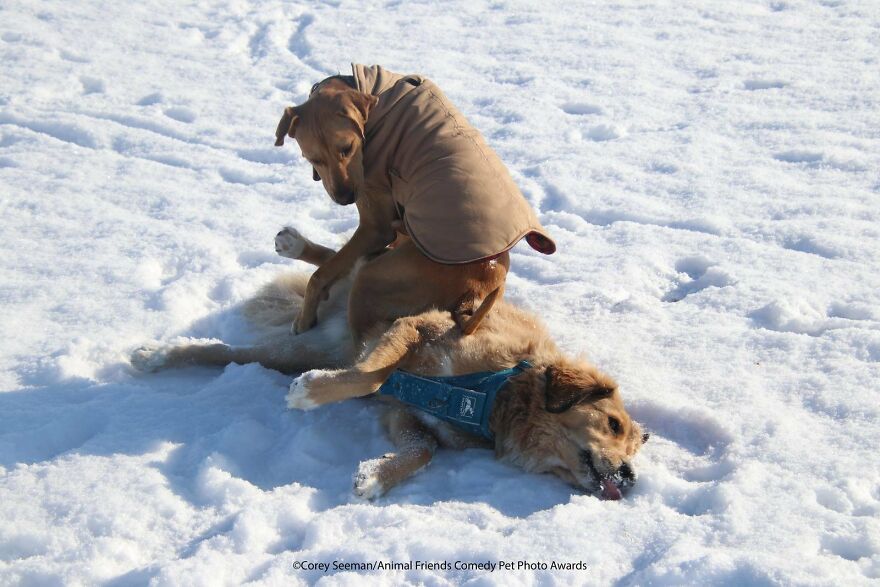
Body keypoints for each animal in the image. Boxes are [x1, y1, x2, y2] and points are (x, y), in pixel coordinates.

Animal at [276, 66, 552, 344]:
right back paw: (294, 245)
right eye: (313, 159)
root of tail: (489, 280)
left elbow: (321, 275)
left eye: (347, 148)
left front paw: (305, 317)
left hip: (373, 279)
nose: (345, 198)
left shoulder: (376, 227)